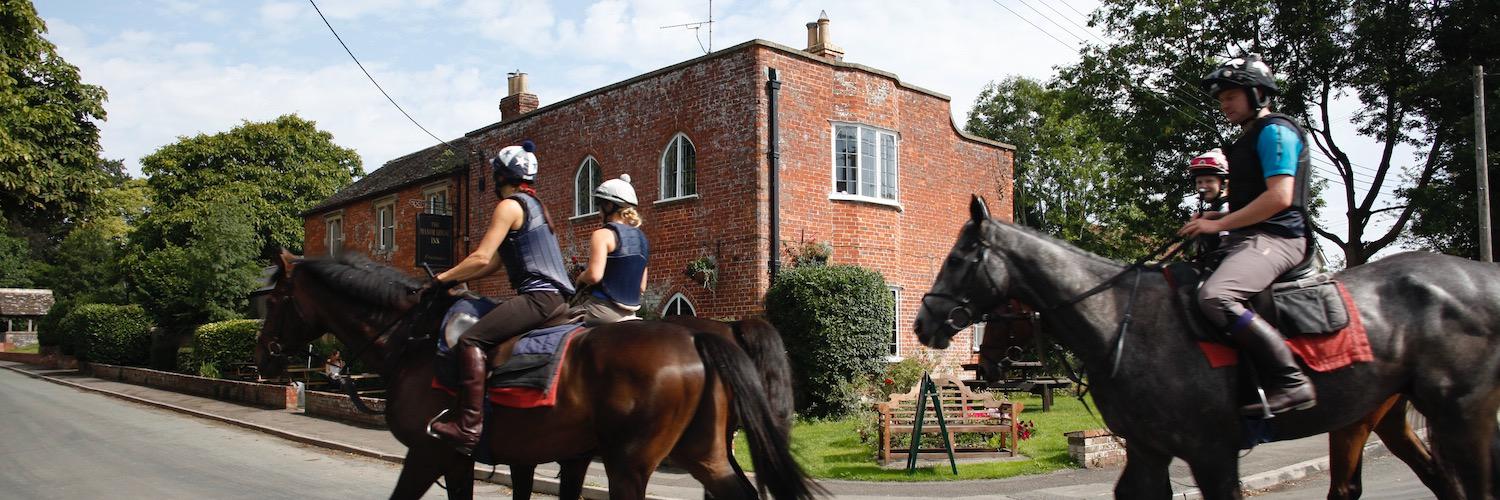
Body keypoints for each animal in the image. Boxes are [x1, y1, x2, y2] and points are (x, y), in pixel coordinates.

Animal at [258, 253, 822, 498]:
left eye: (277, 298)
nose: (265, 355)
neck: (413, 338)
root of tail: (700, 336)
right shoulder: (481, 459)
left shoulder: (429, 453)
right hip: (703, 451)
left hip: (633, 462)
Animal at [912, 195, 1500, 498]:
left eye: (960, 259)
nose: (922, 323)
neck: (1121, 320)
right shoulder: (1148, 453)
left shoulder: (1212, 453)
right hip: (1390, 414)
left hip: (1457, 416)